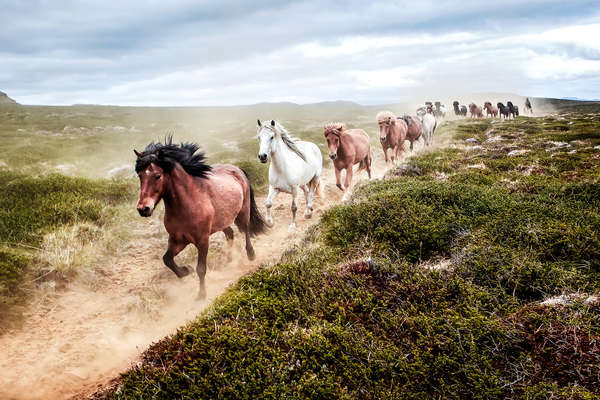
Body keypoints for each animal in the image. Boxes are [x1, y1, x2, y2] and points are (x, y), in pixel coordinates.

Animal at [137, 139, 268, 298]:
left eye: (157, 176)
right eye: (140, 176)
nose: (143, 209)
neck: (188, 204)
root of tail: (237, 169)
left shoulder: (202, 240)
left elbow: (201, 269)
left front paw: (201, 295)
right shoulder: (177, 240)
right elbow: (167, 259)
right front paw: (185, 271)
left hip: (243, 211)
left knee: (246, 230)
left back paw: (251, 254)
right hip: (222, 221)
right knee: (230, 233)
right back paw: (229, 259)